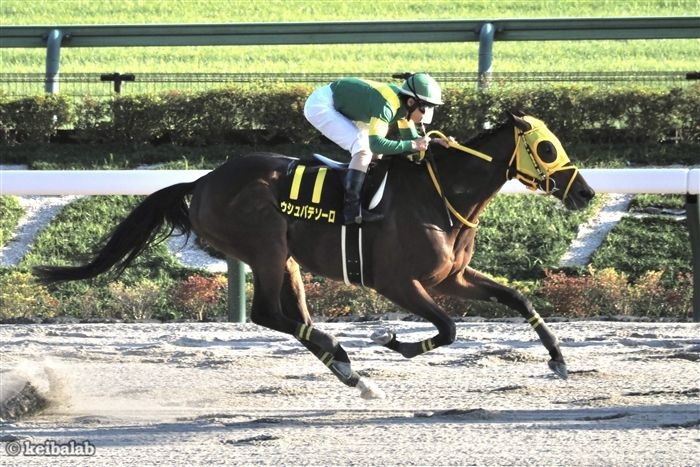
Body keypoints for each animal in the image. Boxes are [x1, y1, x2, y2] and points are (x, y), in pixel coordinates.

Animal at [37, 112, 596, 398]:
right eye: (547, 148)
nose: (586, 192)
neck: (440, 196)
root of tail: (203, 180)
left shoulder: (450, 277)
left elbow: (518, 299)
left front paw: (559, 360)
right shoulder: (396, 282)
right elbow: (450, 328)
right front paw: (393, 341)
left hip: (285, 259)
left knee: (293, 317)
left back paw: (351, 373)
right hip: (264, 246)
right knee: (268, 314)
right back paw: (345, 357)